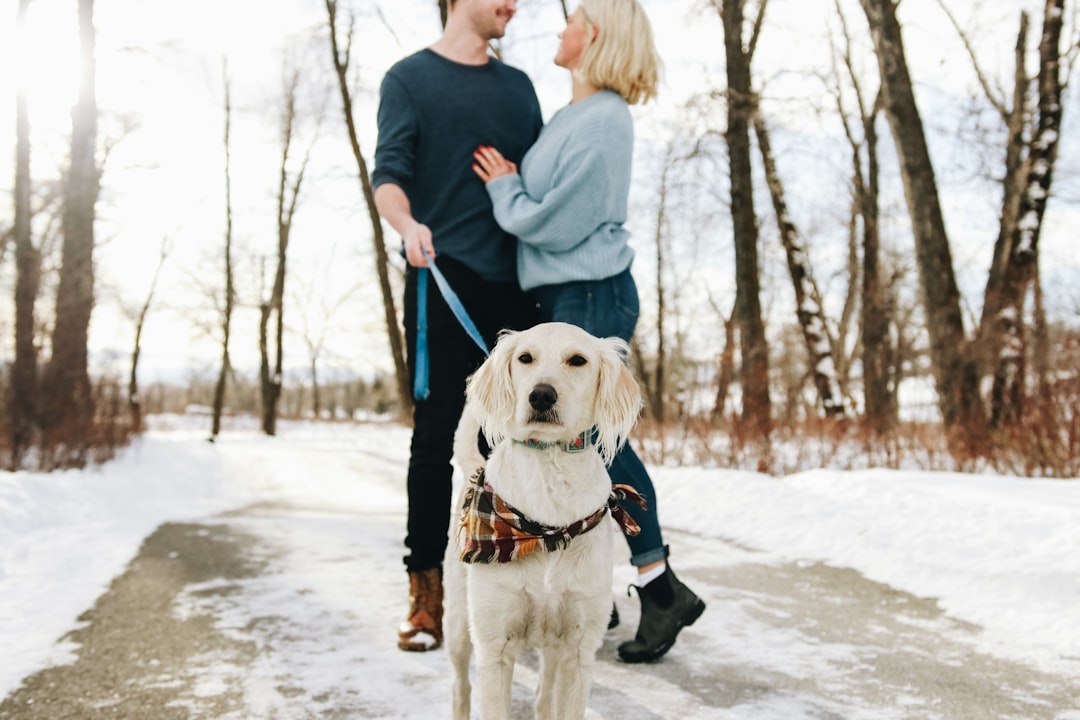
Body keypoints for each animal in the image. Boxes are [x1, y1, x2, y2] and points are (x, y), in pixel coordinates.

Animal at [444, 321, 643, 720]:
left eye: (578, 360)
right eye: (525, 358)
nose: (541, 395)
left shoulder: (578, 649)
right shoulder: (494, 647)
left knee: (543, 696)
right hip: (458, 626)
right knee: (460, 686)